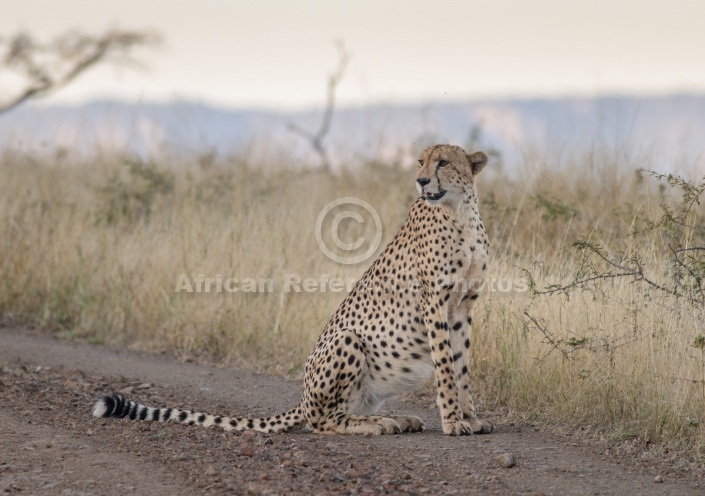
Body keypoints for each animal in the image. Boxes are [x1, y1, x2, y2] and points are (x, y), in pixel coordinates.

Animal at [93, 143, 496, 434]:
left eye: (443, 162)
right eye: (420, 163)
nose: (422, 182)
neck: (460, 212)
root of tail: (303, 397)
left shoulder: (463, 306)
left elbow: (462, 366)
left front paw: (470, 418)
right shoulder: (434, 304)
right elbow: (446, 367)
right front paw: (453, 422)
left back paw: (397, 419)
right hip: (346, 339)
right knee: (323, 422)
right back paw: (382, 424)